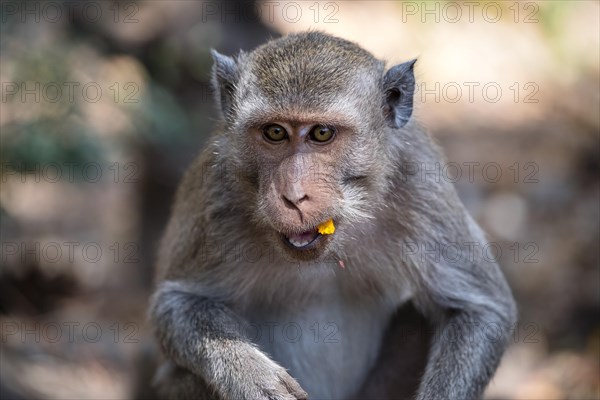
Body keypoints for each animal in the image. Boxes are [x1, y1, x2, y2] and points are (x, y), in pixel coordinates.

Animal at [149, 32, 516, 400]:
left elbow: (479, 309)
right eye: (275, 132)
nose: (294, 195)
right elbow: (174, 304)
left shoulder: (419, 179)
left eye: (322, 133)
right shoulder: (216, 192)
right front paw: (251, 377)